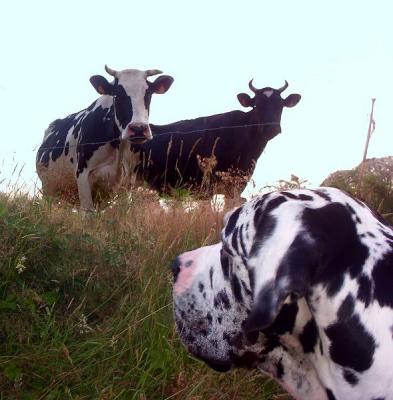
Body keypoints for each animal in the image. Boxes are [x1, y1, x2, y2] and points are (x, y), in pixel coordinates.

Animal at [36, 65, 173, 212]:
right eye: (117, 94)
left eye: (148, 94)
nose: (138, 128)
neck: (119, 147)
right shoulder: (82, 175)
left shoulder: (128, 181)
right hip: (48, 188)